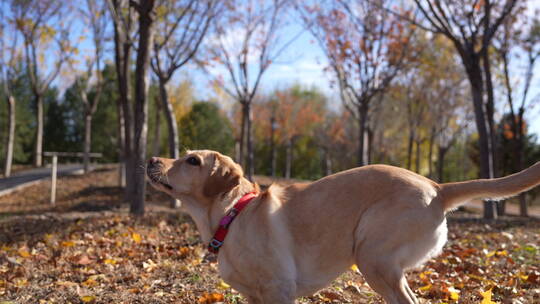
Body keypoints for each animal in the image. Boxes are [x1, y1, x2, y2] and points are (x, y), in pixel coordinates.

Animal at [146, 150, 536, 304]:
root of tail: (438, 187)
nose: (150, 159)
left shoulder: (278, 290)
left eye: (192, 160)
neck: (234, 214)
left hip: (372, 257)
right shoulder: (253, 296)